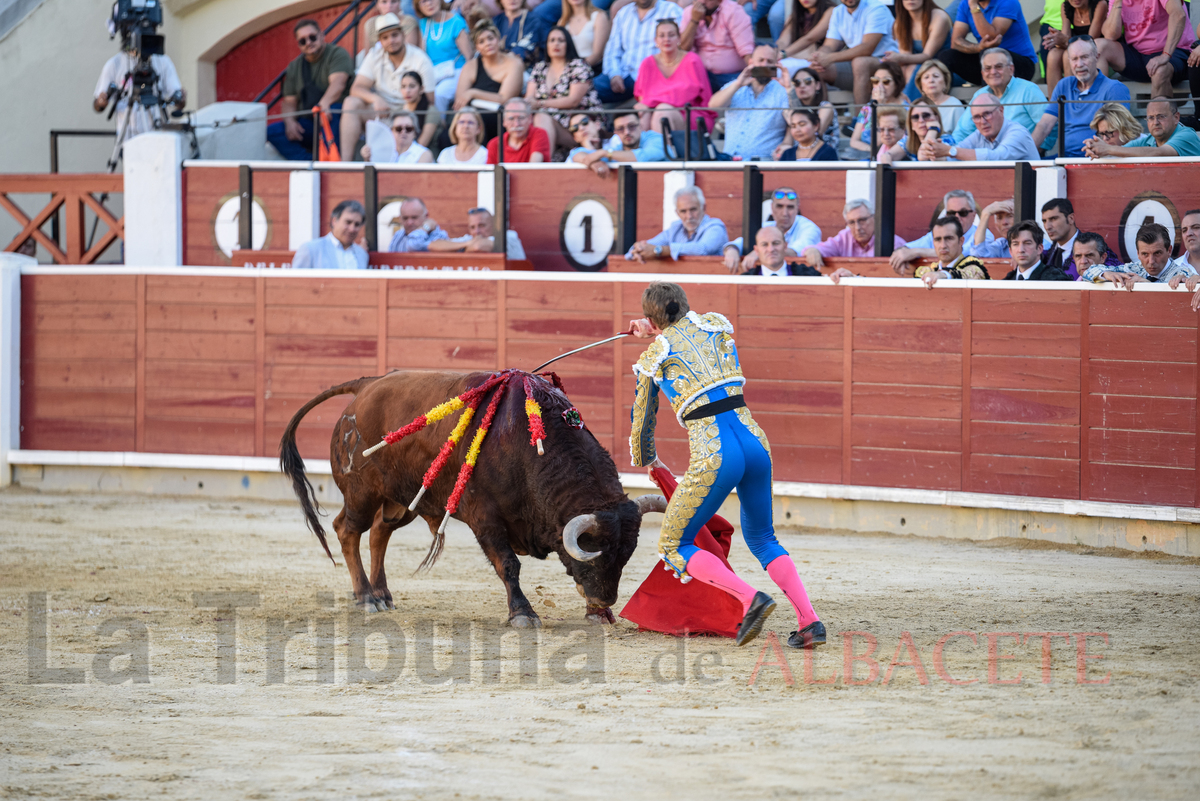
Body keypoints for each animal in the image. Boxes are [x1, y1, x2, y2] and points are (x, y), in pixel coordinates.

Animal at [278, 369, 667, 623]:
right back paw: (365, 598)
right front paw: (523, 613)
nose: (604, 599)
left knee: (378, 534)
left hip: (402, 501)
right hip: (362, 493)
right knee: (347, 530)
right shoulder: (485, 518)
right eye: (594, 550)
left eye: (626, 555)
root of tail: (365, 387)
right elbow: (508, 564)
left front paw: (597, 613)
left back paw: (382, 595)